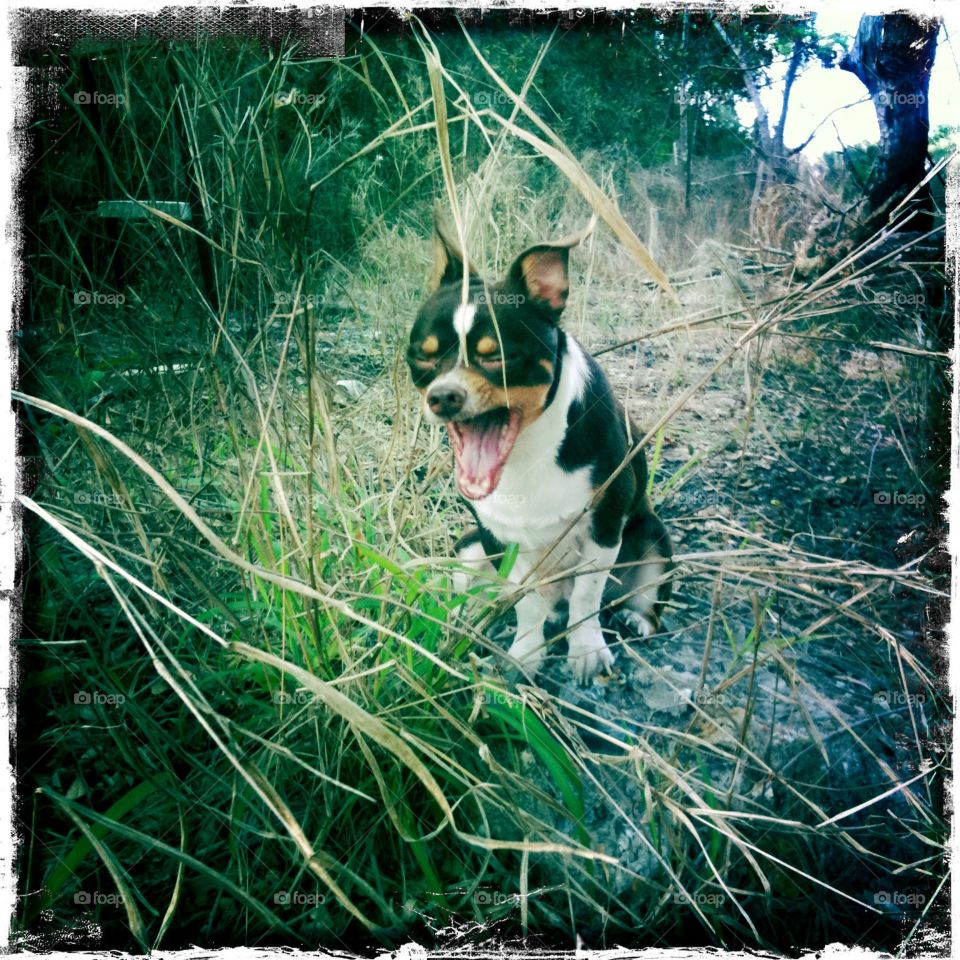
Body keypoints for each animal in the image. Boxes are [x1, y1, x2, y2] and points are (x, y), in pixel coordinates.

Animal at [406, 218, 676, 684]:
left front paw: (586, 651)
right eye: (423, 359)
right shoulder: (499, 538)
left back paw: (637, 618)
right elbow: (527, 602)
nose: (442, 396)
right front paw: (525, 653)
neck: (526, 452)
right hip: (468, 548)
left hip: (655, 540)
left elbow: (587, 595)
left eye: (498, 356)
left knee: (636, 596)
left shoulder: (605, 525)